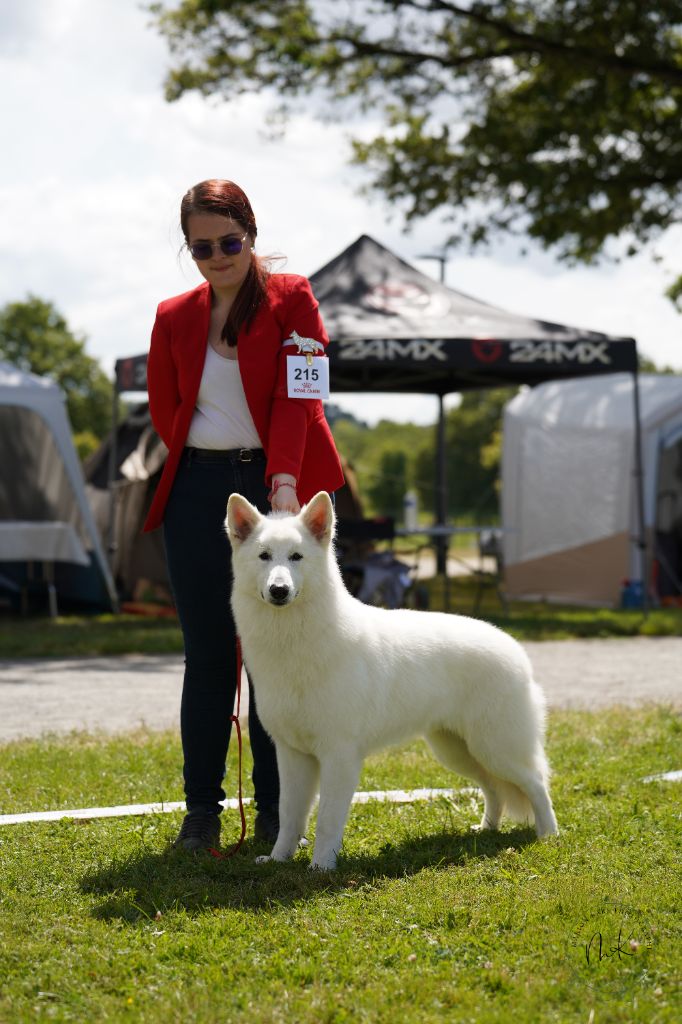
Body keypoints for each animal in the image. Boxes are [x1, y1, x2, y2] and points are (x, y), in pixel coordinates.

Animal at [225, 491, 557, 868]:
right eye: (264, 556)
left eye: (296, 557)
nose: (279, 590)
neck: (294, 639)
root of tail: (515, 648)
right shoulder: (293, 756)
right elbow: (289, 816)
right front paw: (279, 859)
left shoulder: (339, 755)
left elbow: (327, 819)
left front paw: (321, 867)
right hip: (459, 750)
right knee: (493, 788)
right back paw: (487, 829)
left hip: (495, 747)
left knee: (536, 783)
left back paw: (549, 835)